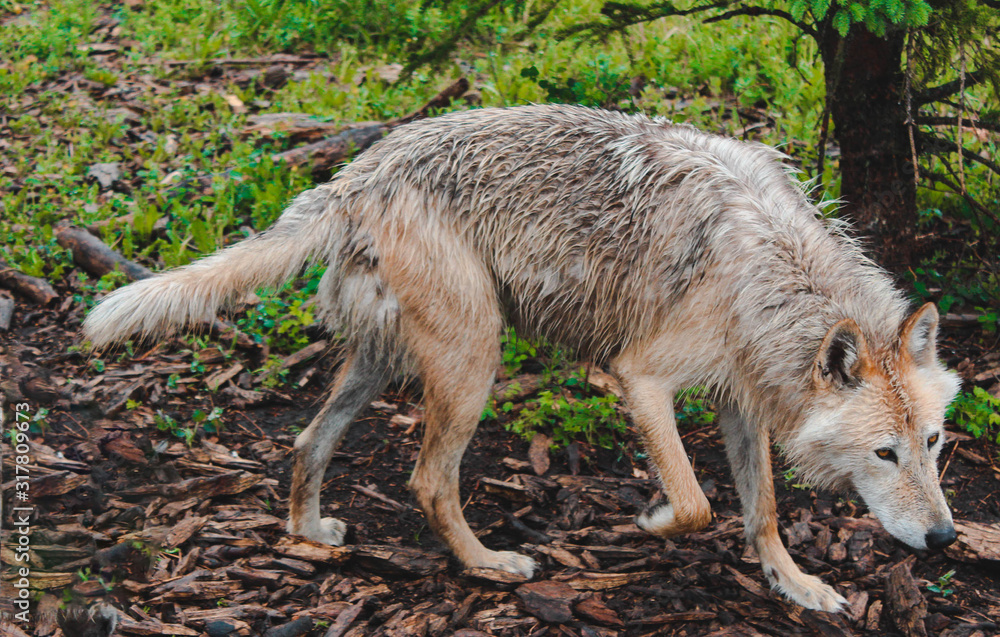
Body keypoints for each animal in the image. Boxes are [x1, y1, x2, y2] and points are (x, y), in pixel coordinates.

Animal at [84, 104, 960, 611]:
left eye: (933, 444)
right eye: (883, 453)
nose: (948, 539)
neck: (770, 267)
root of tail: (354, 176)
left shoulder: (739, 399)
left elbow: (763, 511)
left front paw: (800, 586)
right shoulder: (640, 377)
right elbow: (696, 504)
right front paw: (648, 521)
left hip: (384, 365)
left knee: (307, 440)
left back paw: (309, 532)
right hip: (475, 362)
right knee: (428, 479)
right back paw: (491, 565)